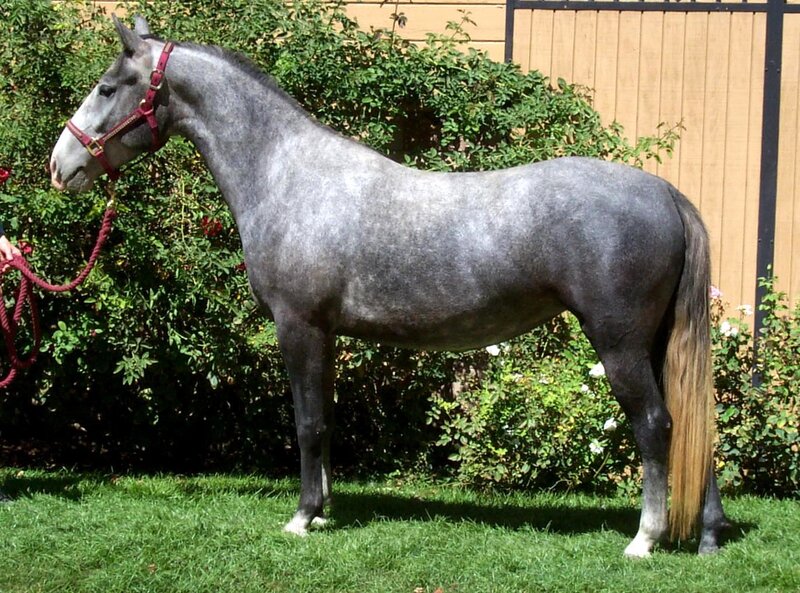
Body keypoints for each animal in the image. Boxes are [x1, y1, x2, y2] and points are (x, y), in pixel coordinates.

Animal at [49, 15, 729, 556]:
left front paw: (302, 518)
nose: (61, 167)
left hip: (619, 345)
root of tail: (665, 193)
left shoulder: (298, 325)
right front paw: (324, 512)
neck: (285, 173)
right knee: (694, 424)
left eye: (107, 87)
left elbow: (307, 423)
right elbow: (324, 419)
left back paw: (644, 539)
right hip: (662, 344)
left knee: (656, 425)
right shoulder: (324, 333)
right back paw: (709, 535)